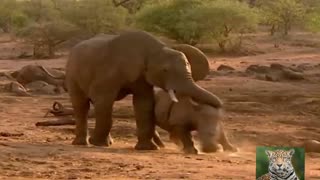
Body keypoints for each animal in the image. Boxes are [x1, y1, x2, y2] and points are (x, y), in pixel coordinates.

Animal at [66, 30, 222, 150]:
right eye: (165, 70)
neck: (155, 48)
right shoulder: (108, 72)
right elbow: (104, 101)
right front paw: (98, 144)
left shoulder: (142, 77)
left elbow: (144, 103)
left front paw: (147, 148)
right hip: (72, 73)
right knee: (81, 105)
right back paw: (82, 143)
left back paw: (106, 142)